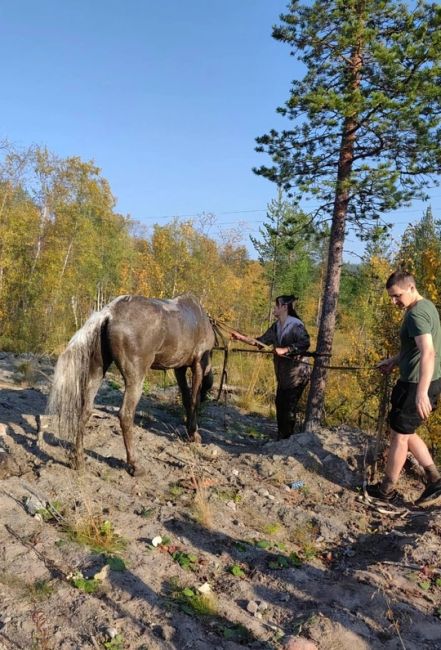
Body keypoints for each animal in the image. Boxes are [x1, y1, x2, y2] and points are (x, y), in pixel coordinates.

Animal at [46, 292, 215, 470]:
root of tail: (108, 313)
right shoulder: (198, 364)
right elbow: (194, 400)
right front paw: (194, 433)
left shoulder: (179, 368)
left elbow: (187, 399)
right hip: (135, 380)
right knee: (125, 415)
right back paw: (134, 464)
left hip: (96, 371)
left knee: (85, 410)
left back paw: (79, 461)